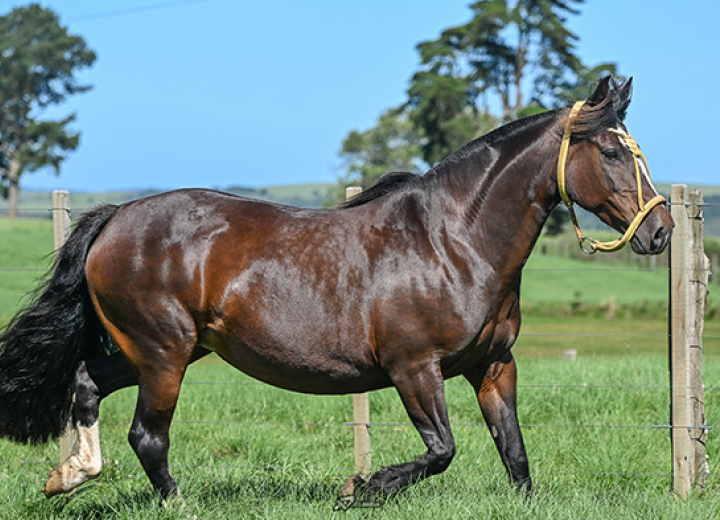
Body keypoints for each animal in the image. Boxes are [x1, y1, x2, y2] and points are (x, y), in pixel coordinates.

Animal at [0, 77, 672, 508]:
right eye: (611, 151)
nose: (661, 230)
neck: (455, 242)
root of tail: (116, 219)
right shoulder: (414, 368)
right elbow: (442, 450)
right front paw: (359, 488)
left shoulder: (493, 365)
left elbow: (515, 455)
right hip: (163, 353)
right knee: (147, 436)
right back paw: (169, 500)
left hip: (164, 349)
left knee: (86, 384)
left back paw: (68, 475)